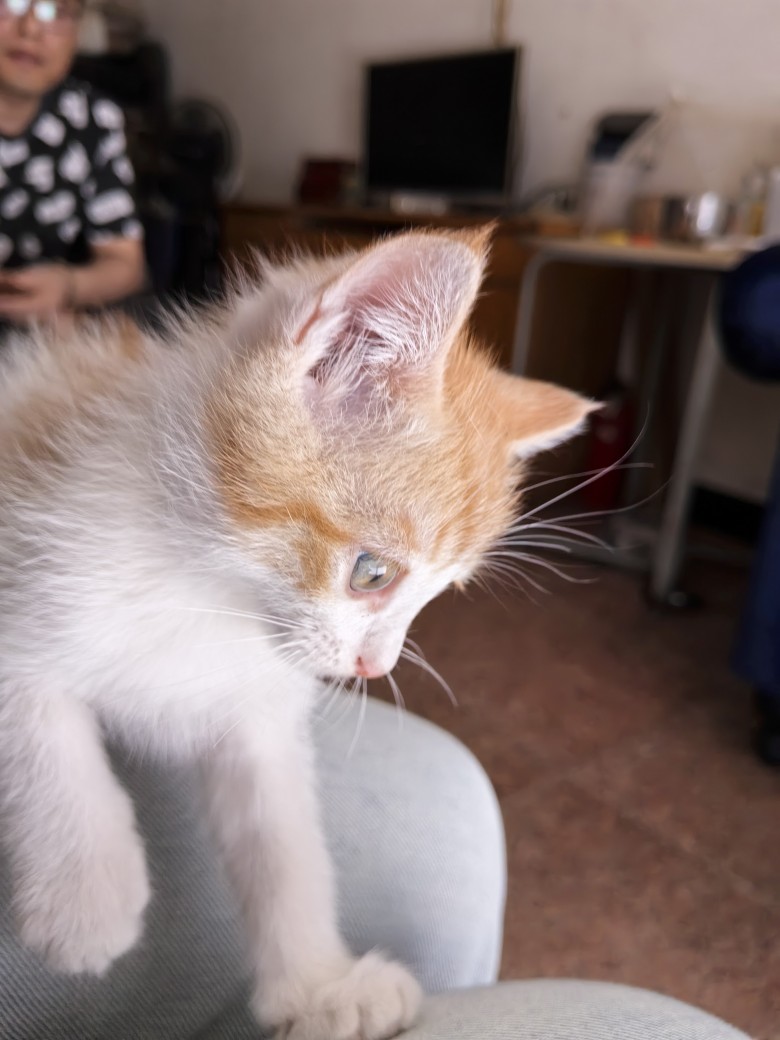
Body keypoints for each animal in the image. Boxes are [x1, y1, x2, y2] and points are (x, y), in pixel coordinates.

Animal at [0, 227, 594, 1040]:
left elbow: (284, 843)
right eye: (373, 573)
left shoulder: (257, 717)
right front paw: (88, 895)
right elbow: (41, 729)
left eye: (439, 594)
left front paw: (320, 986)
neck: (208, 592)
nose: (373, 668)